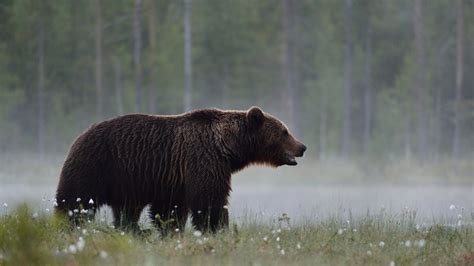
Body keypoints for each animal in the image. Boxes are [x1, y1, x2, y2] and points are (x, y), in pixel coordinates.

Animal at [54, 106, 308, 233]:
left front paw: (170, 229)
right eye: (284, 131)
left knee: (126, 210)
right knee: (75, 200)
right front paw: (217, 228)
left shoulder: (175, 178)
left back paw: (134, 229)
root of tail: (79, 136)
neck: (228, 147)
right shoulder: (203, 158)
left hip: (126, 182)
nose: (302, 147)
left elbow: (170, 209)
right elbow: (209, 199)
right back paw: (67, 224)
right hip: (95, 165)